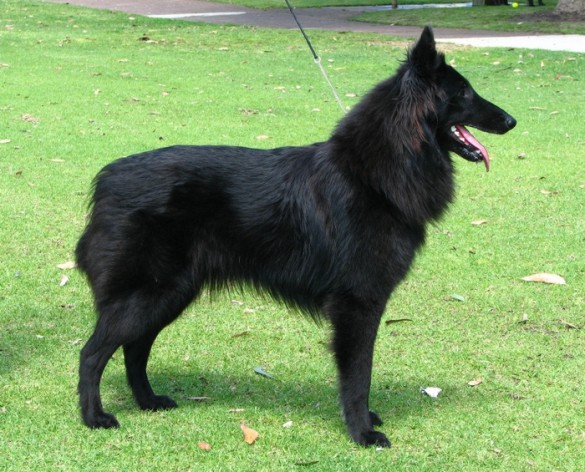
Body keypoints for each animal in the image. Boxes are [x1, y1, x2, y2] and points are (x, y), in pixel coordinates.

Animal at [76, 26, 516, 447]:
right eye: (464, 93)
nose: (511, 121)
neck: (375, 175)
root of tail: (106, 179)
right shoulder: (358, 303)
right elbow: (359, 375)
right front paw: (361, 432)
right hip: (149, 294)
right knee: (92, 354)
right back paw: (94, 418)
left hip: (169, 295)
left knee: (134, 349)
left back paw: (147, 401)